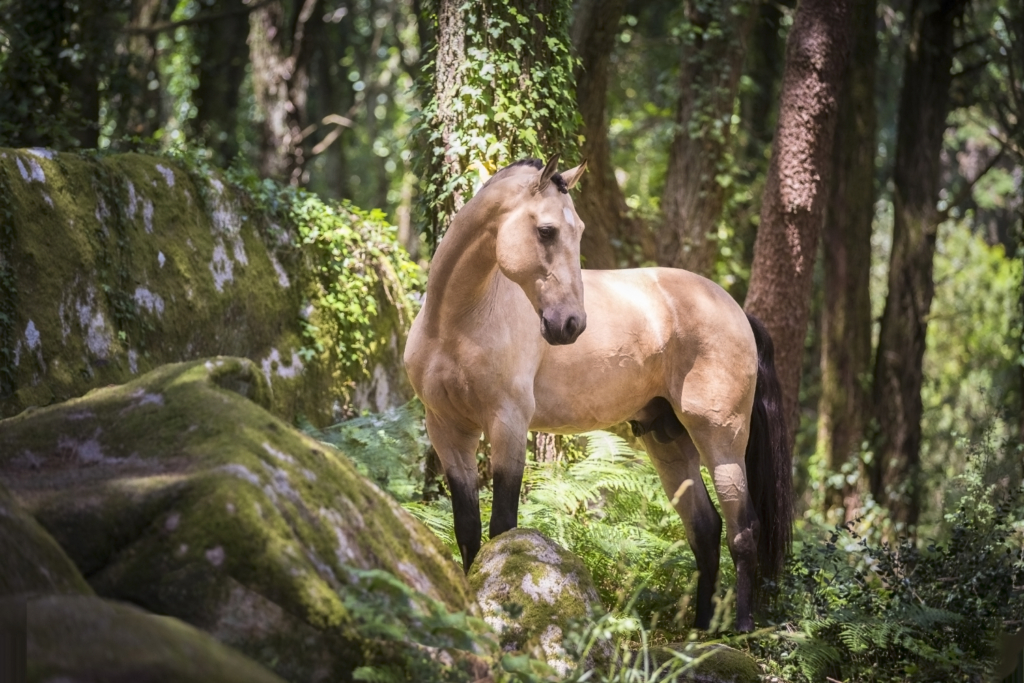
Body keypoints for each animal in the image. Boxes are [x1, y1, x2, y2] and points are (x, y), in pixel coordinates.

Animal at [403, 154, 794, 630]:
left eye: (580, 231)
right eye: (546, 230)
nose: (570, 324)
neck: (457, 323)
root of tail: (735, 308)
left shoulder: (507, 425)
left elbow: (503, 529)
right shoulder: (447, 431)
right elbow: (467, 532)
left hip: (721, 439)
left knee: (743, 528)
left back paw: (739, 628)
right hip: (668, 441)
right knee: (705, 529)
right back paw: (700, 632)